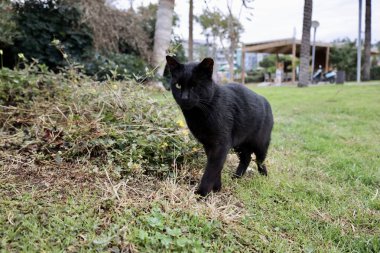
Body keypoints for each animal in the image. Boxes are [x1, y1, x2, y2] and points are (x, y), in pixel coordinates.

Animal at [166, 55, 274, 198]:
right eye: (178, 85)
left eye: (195, 85)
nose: (184, 98)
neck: (199, 114)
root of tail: (265, 100)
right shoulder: (208, 144)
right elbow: (216, 168)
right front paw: (217, 188)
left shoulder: (220, 144)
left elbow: (211, 169)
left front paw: (201, 194)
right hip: (240, 144)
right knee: (246, 158)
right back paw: (236, 177)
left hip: (260, 143)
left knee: (260, 160)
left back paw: (264, 176)